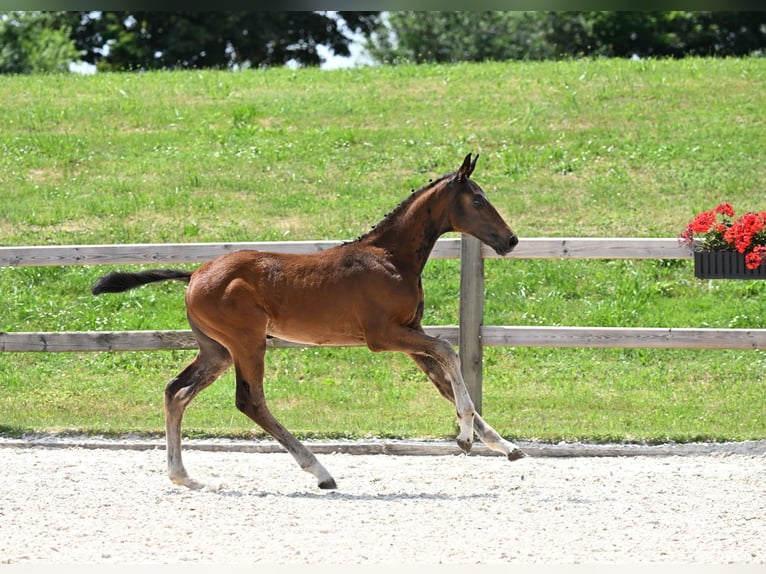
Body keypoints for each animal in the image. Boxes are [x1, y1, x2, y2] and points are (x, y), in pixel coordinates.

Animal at [91, 153, 525, 490]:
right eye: (479, 200)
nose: (511, 240)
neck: (390, 257)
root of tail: (194, 274)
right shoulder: (383, 335)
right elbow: (449, 351)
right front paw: (465, 435)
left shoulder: (410, 332)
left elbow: (443, 382)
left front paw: (503, 446)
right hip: (248, 341)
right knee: (249, 400)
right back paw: (320, 471)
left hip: (217, 350)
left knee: (176, 391)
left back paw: (185, 477)